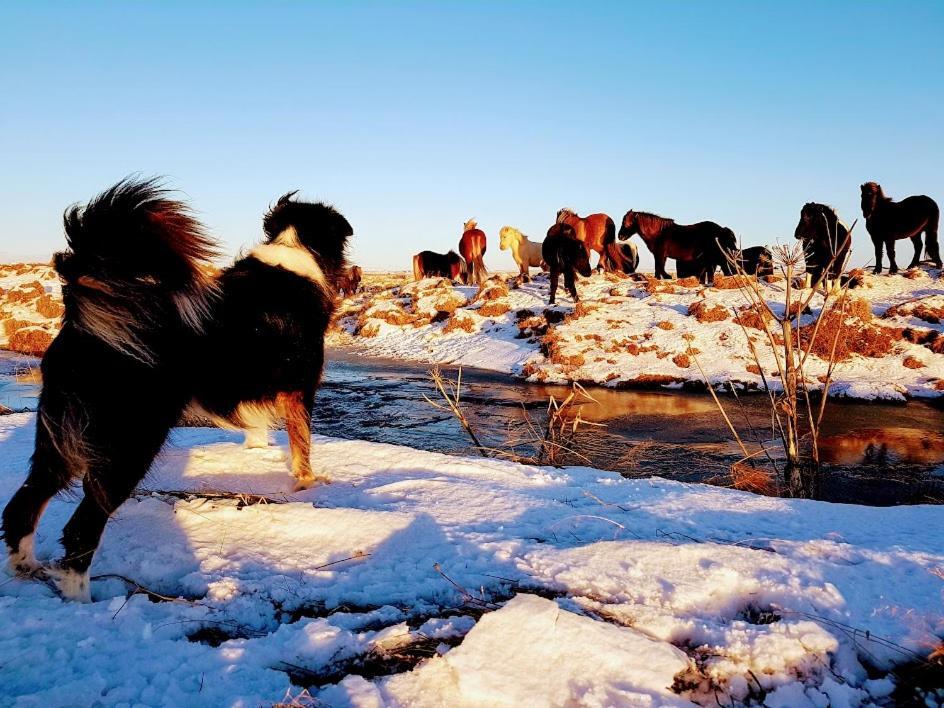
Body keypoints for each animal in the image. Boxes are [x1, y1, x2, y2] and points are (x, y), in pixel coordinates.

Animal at [1, 180, 352, 600]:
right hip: (129, 446)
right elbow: (303, 445)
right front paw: (309, 484)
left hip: (56, 440)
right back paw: (81, 599)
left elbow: (258, 429)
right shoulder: (300, 390)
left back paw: (26, 569)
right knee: (81, 528)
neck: (294, 251)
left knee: (23, 504)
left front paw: (258, 453)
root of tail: (84, 323)